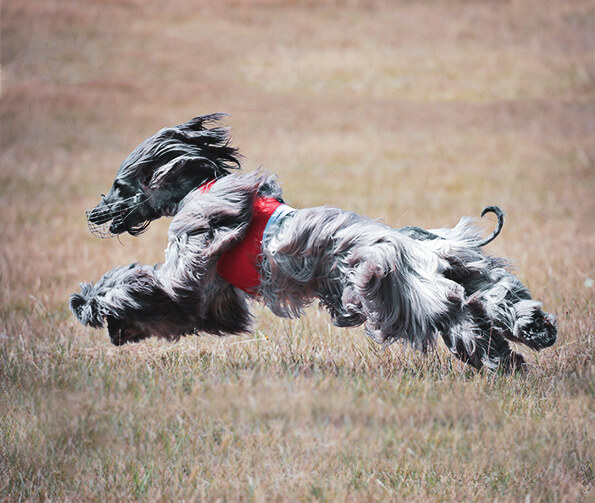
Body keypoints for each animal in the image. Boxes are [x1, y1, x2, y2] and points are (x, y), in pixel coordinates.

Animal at [70, 115, 560, 374]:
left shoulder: (195, 251)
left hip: (393, 285)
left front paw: (91, 302)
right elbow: (181, 311)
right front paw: (113, 322)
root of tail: (424, 243)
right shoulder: (210, 297)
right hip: (462, 269)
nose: (93, 214)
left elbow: (149, 287)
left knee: (455, 312)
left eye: (119, 186)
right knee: (496, 300)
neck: (197, 187)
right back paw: (530, 335)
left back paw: (499, 354)